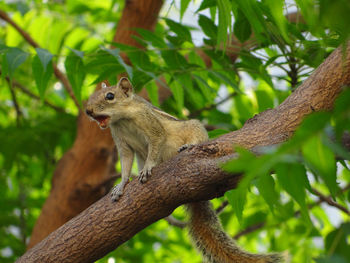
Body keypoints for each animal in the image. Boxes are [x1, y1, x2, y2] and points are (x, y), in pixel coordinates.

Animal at [86, 78, 284, 263]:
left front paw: (149, 167)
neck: (123, 119)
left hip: (193, 127)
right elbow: (126, 164)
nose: (88, 111)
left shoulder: (151, 124)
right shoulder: (122, 142)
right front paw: (121, 185)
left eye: (110, 96)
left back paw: (188, 146)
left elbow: (156, 143)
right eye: (91, 96)